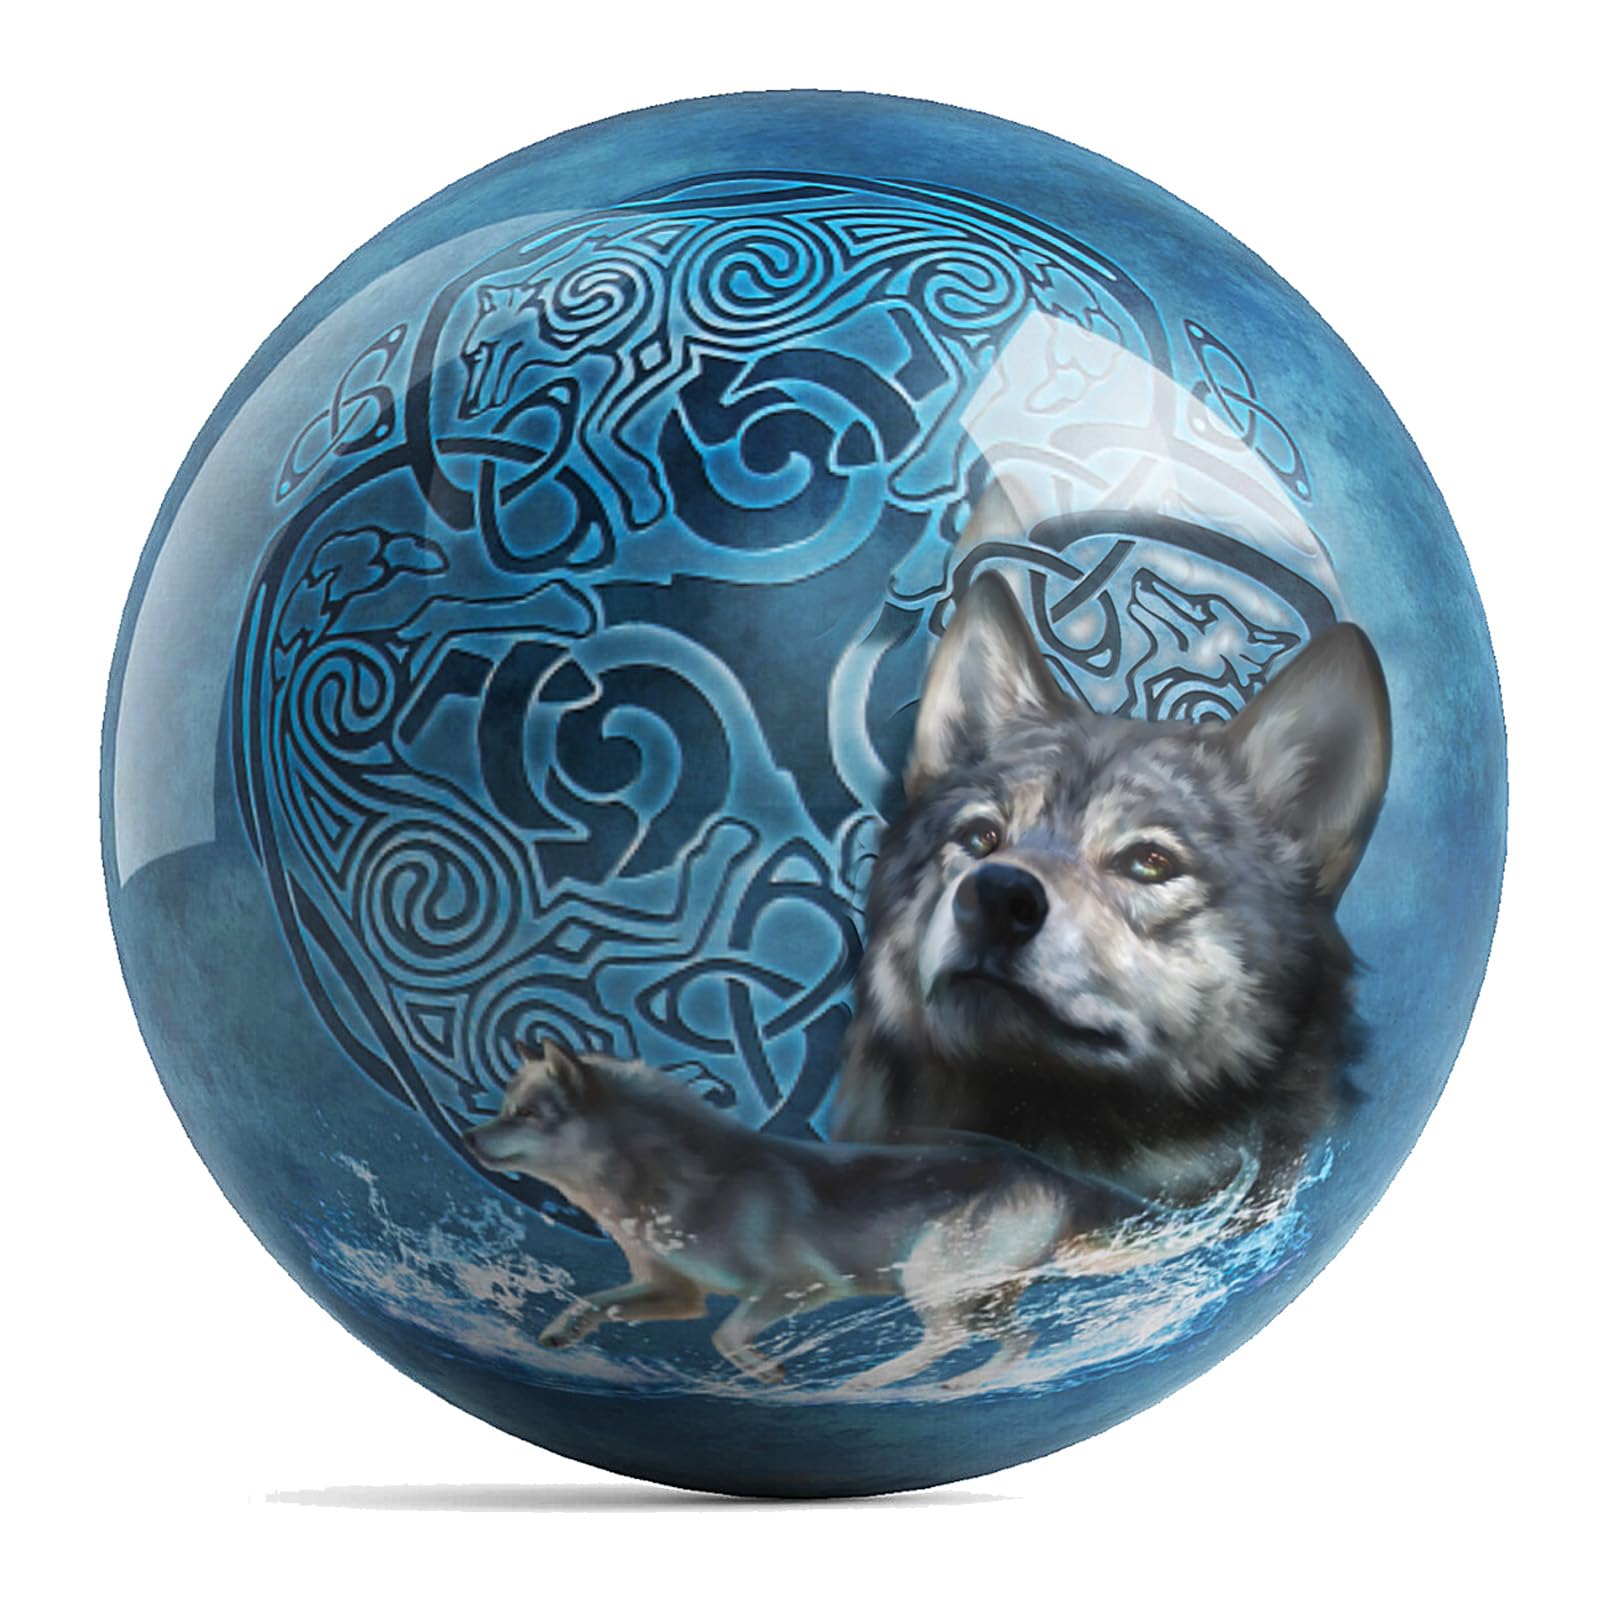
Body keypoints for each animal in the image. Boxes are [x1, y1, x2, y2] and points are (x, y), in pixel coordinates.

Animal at [466, 1040, 1245, 1388]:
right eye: (506, 1106)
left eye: (526, 1114)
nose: (471, 1139)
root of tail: (1052, 1172)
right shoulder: (673, 1292)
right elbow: (598, 1301)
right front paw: (560, 1334)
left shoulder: (797, 1289)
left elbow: (727, 1336)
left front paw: (768, 1374)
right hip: (981, 1291)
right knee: (1013, 1339)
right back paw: (954, 1386)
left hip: (930, 1278)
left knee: (948, 1337)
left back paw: (869, 1381)